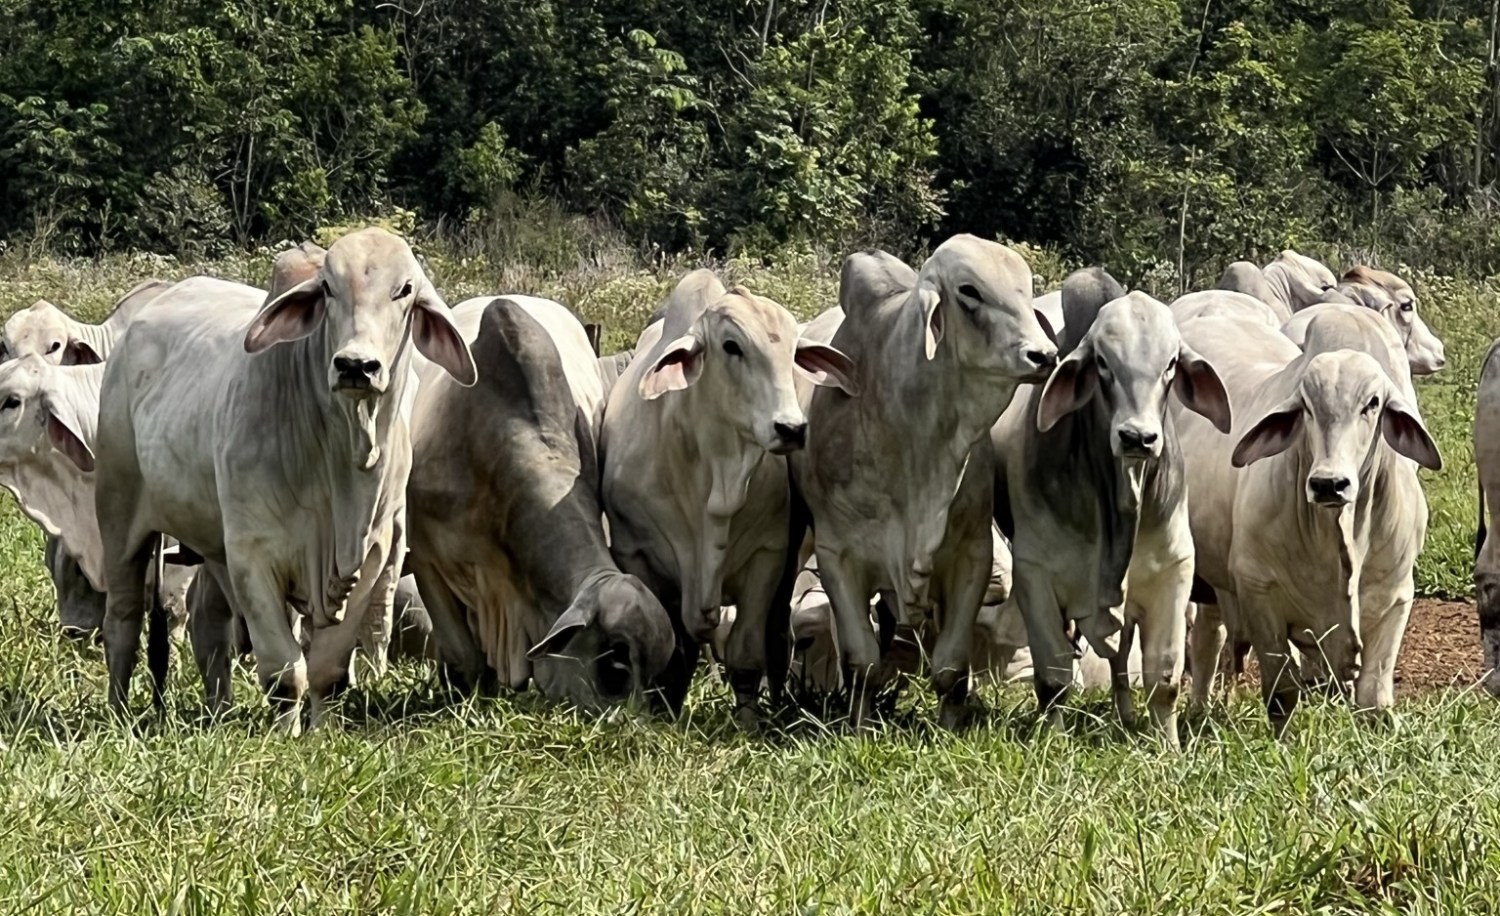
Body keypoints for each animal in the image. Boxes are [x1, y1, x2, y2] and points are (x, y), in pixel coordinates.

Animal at [96, 229, 471, 731]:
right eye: (328, 287)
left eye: (405, 290)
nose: (356, 366)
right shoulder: (252, 554)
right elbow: (284, 672)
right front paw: (285, 734)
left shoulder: (372, 558)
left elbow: (328, 670)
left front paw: (321, 733)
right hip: (119, 514)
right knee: (122, 621)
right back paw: (118, 711)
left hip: (210, 543)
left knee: (206, 621)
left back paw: (219, 709)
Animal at [600, 268, 858, 728]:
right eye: (731, 346)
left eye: (793, 351)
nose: (791, 428)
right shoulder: (637, 556)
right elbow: (664, 642)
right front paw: (653, 709)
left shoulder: (767, 558)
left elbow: (745, 653)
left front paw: (750, 721)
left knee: (778, 635)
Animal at [786, 238, 1056, 731]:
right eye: (969, 291)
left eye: (1026, 289)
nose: (1043, 355)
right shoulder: (838, 556)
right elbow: (862, 660)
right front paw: (859, 726)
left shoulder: (972, 554)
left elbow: (950, 665)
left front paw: (949, 727)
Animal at [1170, 310, 1440, 737]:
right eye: (1307, 407)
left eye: (1372, 403)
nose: (1329, 483)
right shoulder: (1258, 592)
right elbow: (1282, 692)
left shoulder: (1396, 598)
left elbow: (1374, 701)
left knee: (1209, 636)